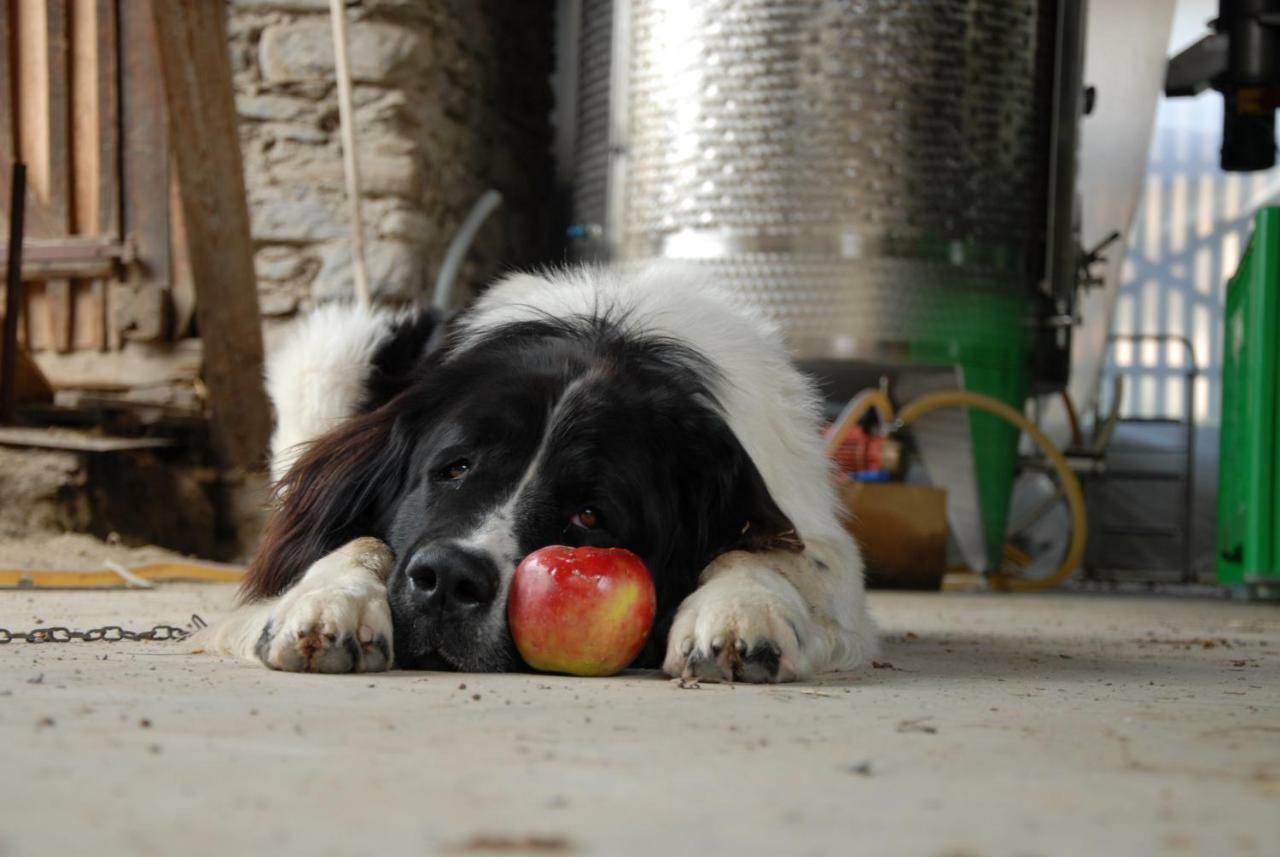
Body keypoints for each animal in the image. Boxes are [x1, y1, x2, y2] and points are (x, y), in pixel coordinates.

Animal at [204, 268, 875, 685]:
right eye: (455, 468)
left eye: (590, 515)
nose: (449, 579)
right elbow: (356, 541)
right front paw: (327, 602)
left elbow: (763, 551)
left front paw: (741, 612)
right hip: (332, 352)